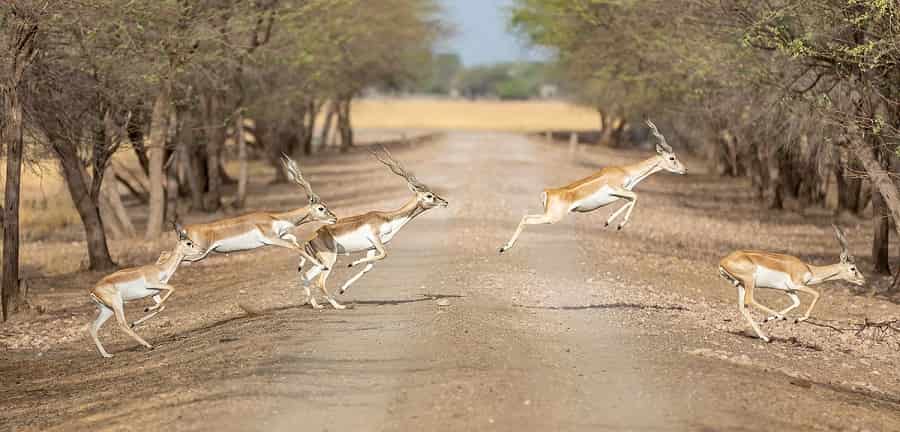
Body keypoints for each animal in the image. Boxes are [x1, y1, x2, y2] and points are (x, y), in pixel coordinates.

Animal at [86, 223, 202, 358]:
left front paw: (138, 319)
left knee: (93, 327)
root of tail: (93, 290)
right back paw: (148, 345)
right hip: (117, 305)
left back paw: (107, 355)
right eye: (189, 243)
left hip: (107, 309)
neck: (160, 269)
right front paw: (146, 309)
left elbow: (162, 306)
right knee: (122, 324)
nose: (201, 250)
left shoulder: (154, 293)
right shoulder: (153, 285)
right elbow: (173, 288)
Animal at [183, 155, 338, 266]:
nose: (334, 218)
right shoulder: (271, 239)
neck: (274, 218)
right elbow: (295, 247)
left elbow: (295, 241)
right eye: (321, 208)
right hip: (199, 253)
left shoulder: (281, 236)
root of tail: (187, 229)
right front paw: (321, 265)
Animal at [298, 147, 448, 308]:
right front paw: (351, 263)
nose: (445, 202)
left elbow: (369, 267)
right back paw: (338, 306)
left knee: (306, 275)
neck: (388, 219)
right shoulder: (375, 239)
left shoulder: (371, 247)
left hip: (320, 262)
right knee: (319, 282)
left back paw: (315, 305)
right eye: (429, 195)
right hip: (329, 259)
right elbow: (384, 255)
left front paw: (342, 288)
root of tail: (311, 237)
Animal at [502, 118, 684, 253]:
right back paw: (504, 247)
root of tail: (548, 192)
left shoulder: (620, 193)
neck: (625, 171)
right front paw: (619, 224)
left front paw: (608, 222)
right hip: (552, 218)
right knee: (526, 219)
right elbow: (636, 196)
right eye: (672, 158)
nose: (685, 169)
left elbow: (629, 199)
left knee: (525, 217)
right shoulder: (618, 189)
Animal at [716, 224, 864, 342]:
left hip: (740, 284)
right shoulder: (797, 285)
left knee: (743, 307)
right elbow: (817, 294)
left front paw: (767, 319)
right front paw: (797, 320)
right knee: (749, 300)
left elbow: (797, 302)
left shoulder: (788, 290)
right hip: (749, 281)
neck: (809, 269)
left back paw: (765, 336)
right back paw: (780, 319)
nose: (863, 280)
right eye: (853, 268)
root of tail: (723, 261)